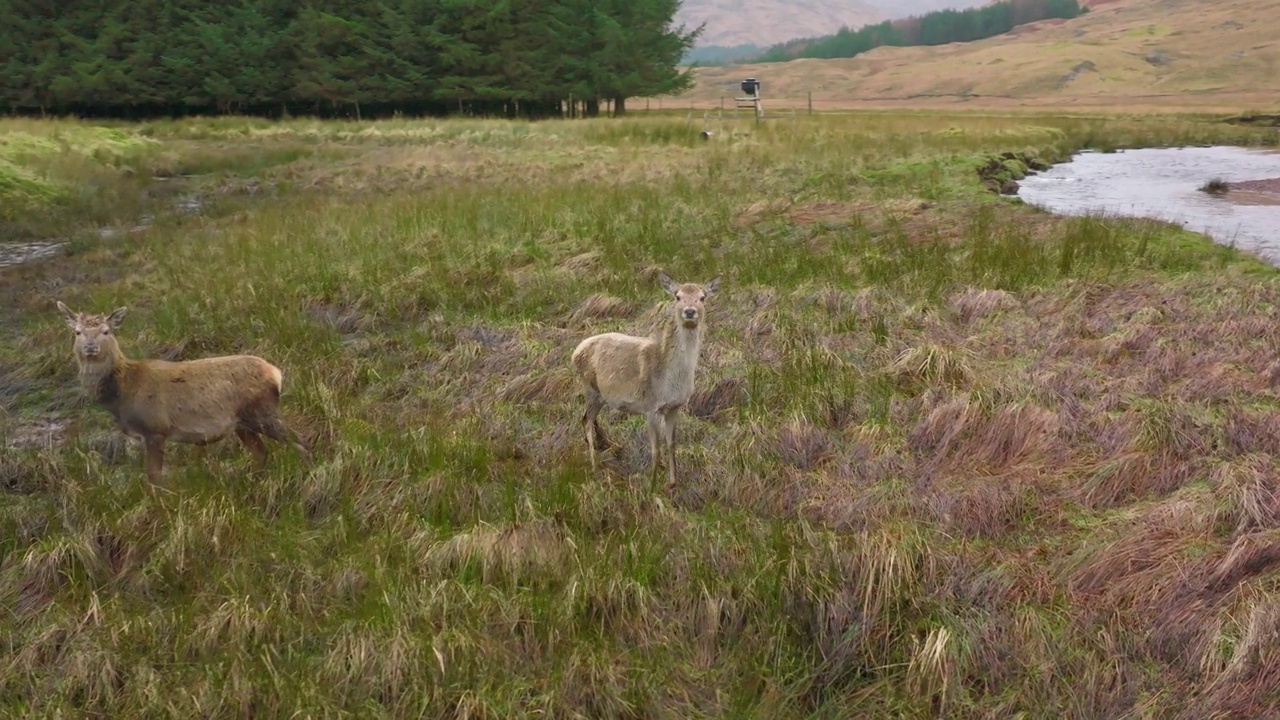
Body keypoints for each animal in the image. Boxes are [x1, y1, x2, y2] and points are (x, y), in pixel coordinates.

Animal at [57, 299, 312, 479]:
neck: (122, 392)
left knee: (300, 441)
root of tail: (276, 373)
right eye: (78, 332)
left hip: (262, 411)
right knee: (261, 452)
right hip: (242, 422)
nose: (91, 347)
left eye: (106, 331)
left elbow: (154, 477)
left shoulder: (155, 428)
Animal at [570, 271, 721, 489]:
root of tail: (575, 353)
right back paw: (594, 468)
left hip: (600, 396)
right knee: (586, 421)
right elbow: (655, 448)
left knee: (590, 419)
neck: (669, 380)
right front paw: (652, 485)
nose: (690, 312)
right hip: (590, 388)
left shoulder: (675, 407)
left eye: (702, 297)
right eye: (677, 296)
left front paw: (673, 483)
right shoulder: (650, 406)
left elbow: (671, 444)